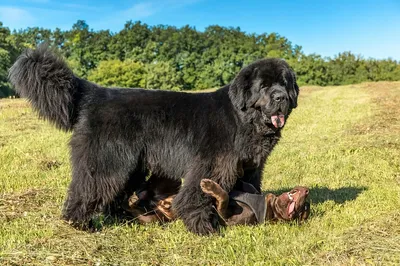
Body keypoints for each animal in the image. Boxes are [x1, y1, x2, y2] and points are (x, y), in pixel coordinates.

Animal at [123, 179, 310, 227]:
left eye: (303, 210)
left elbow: (224, 197)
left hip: (154, 220)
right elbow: (244, 185)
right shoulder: (251, 189)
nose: (307, 191)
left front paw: (210, 186)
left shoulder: (227, 216)